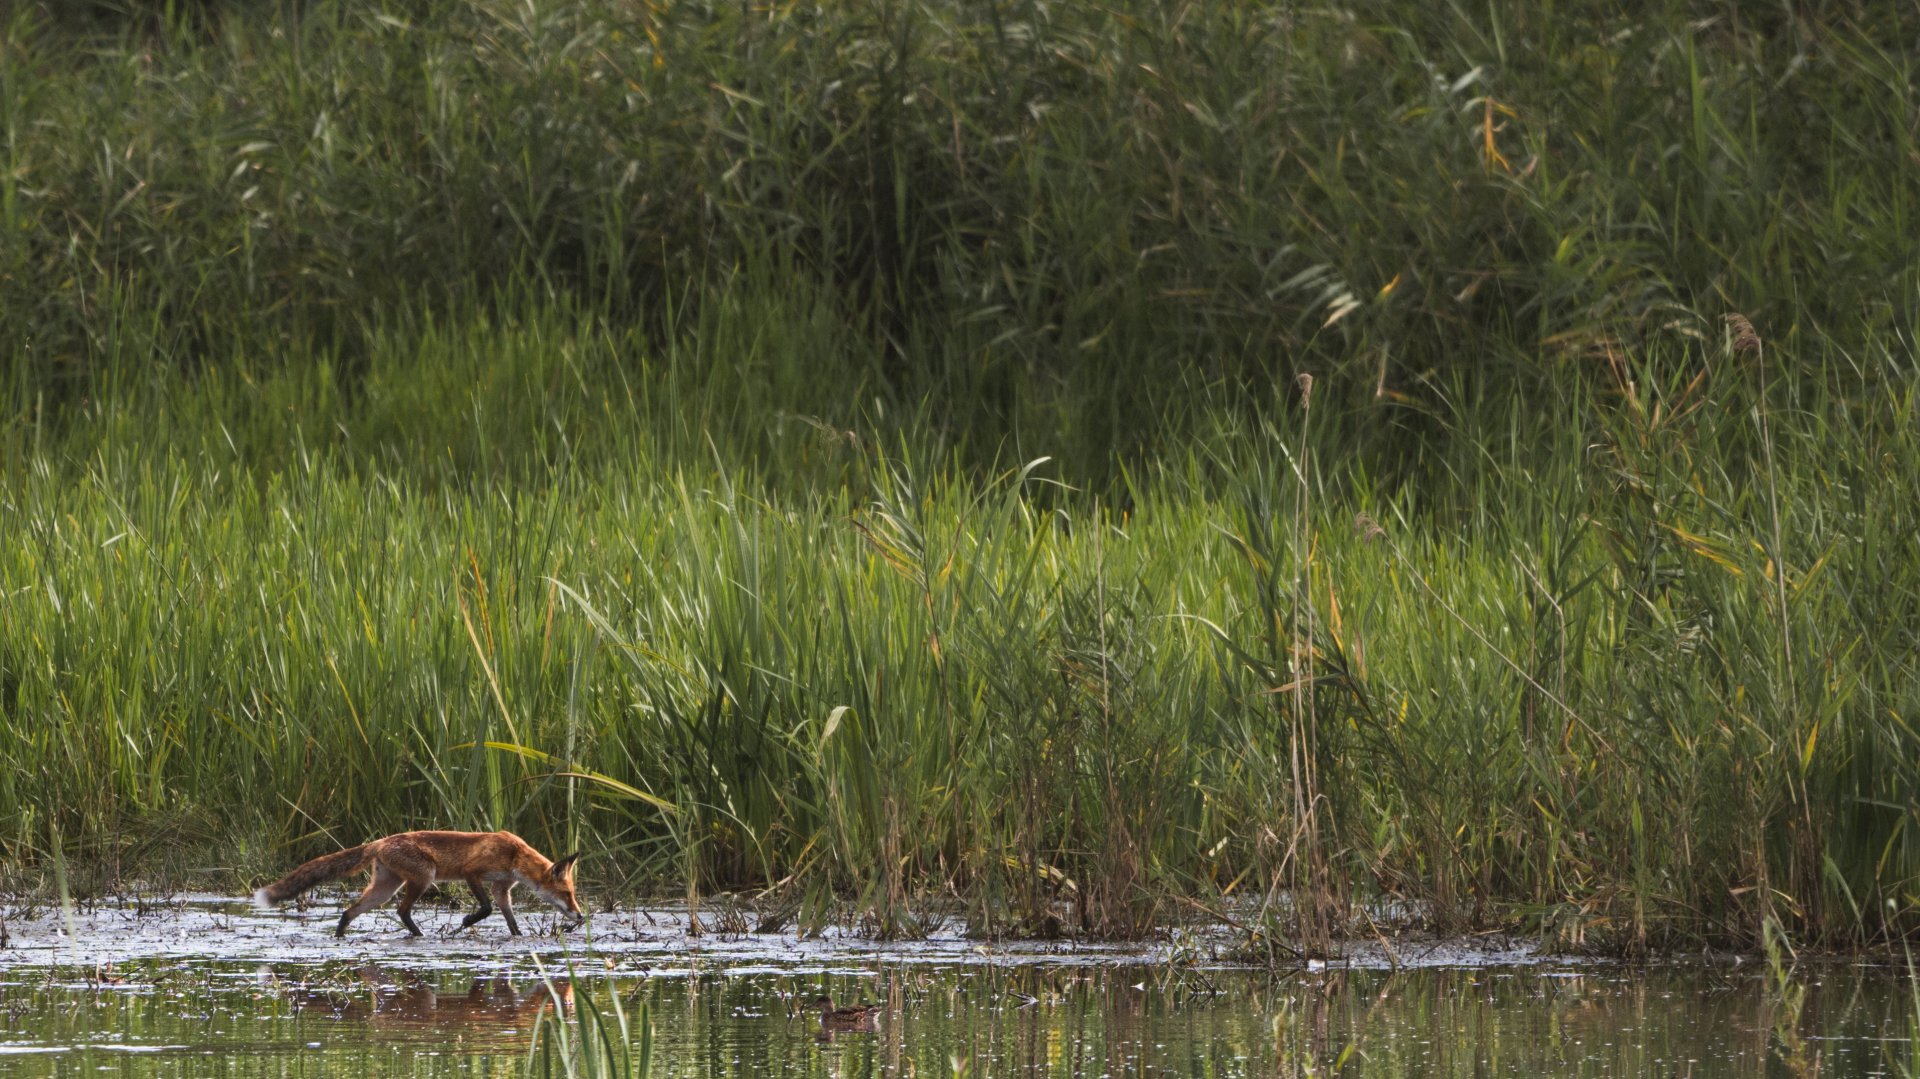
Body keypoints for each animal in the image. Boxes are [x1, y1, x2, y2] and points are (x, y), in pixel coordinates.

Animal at [252, 830, 585, 938]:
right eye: (567, 893)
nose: (581, 916)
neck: (514, 855)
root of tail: (381, 841)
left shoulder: (502, 889)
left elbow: (509, 919)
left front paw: (517, 938)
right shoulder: (472, 872)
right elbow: (487, 909)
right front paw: (467, 921)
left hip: (385, 889)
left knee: (350, 911)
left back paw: (340, 936)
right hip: (424, 877)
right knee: (402, 911)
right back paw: (420, 934)